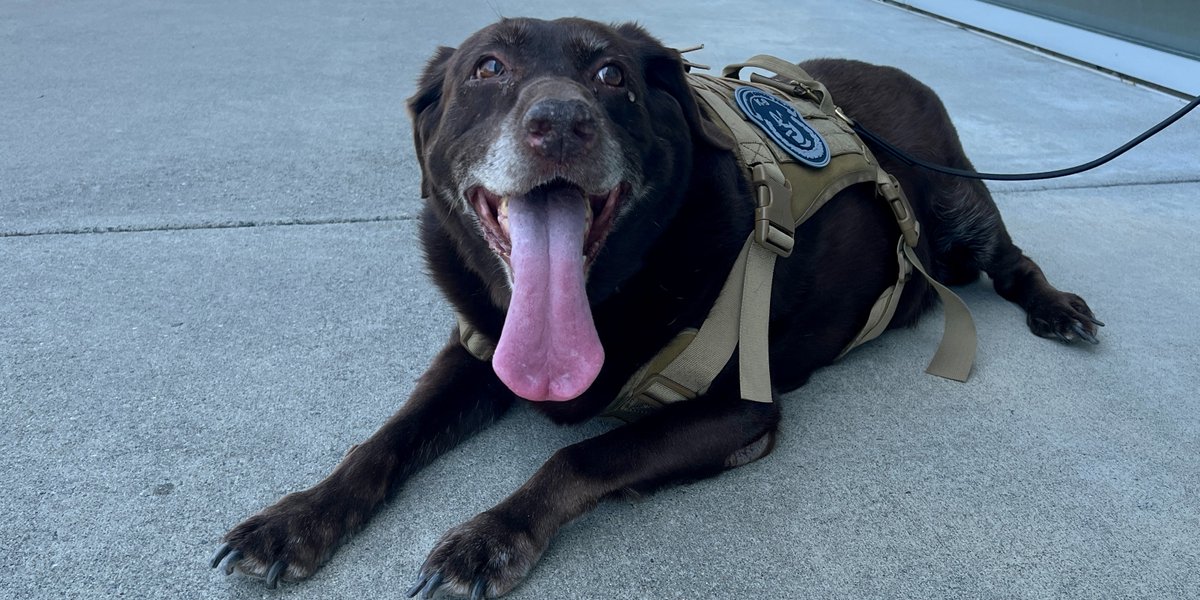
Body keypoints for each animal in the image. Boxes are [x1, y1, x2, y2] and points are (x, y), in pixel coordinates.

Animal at [206, 16, 1099, 597]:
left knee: (1011, 261)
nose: (560, 121)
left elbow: (582, 456)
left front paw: (493, 536)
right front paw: (298, 517)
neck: (604, 299)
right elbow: (386, 438)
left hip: (960, 204)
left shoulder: (739, 409)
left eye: (611, 76)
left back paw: (1058, 309)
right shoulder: (475, 351)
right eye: (487, 69)